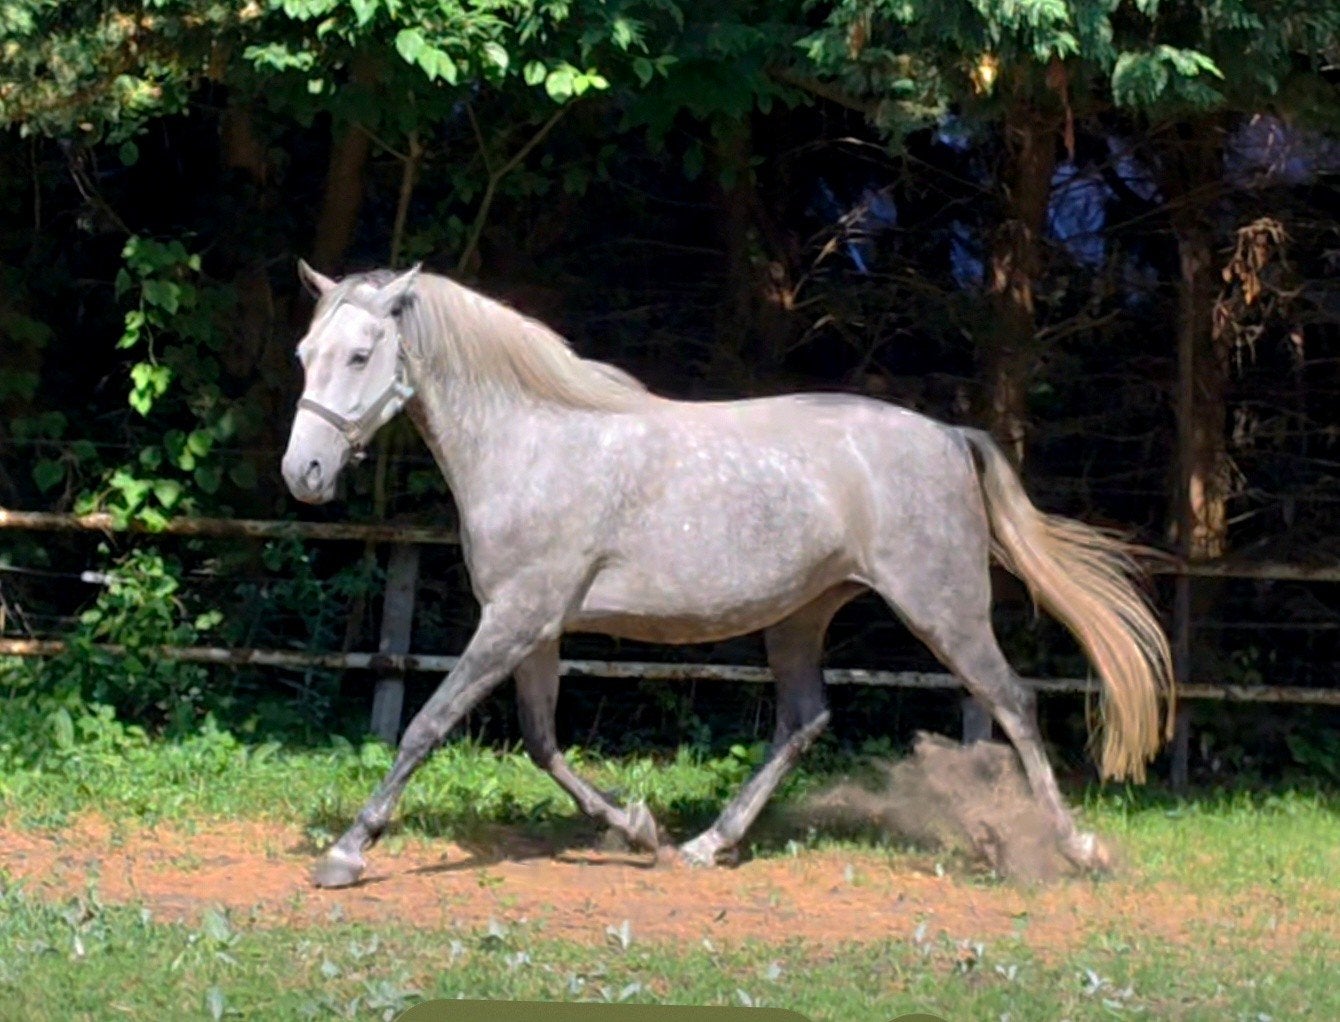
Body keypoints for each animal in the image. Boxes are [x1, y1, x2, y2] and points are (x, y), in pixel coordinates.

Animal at [281, 261, 1174, 888]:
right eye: (304, 354)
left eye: (359, 355)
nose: (304, 473)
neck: (531, 443)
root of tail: (953, 437)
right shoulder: (533, 627)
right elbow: (541, 743)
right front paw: (639, 830)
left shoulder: (514, 619)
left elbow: (427, 725)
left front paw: (347, 853)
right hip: (802, 615)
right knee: (806, 718)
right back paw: (708, 843)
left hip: (941, 609)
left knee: (1013, 702)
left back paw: (1076, 848)